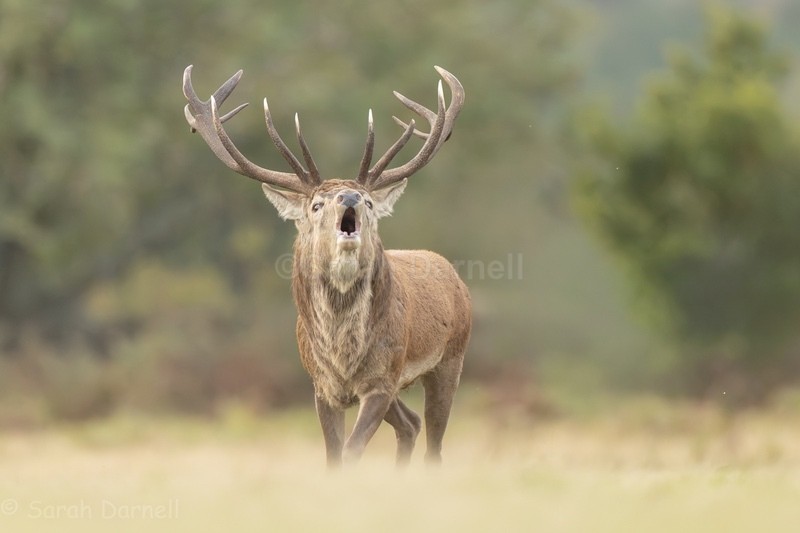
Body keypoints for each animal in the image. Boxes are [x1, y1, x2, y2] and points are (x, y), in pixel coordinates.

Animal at [182, 65, 470, 467]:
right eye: (317, 204)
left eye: (368, 201)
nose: (349, 197)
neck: (341, 354)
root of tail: (455, 277)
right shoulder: (322, 387)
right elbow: (334, 455)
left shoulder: (382, 379)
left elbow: (351, 450)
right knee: (410, 424)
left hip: (450, 358)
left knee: (434, 443)